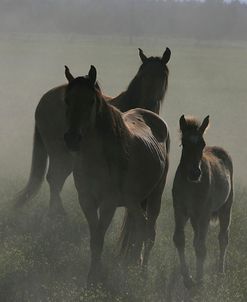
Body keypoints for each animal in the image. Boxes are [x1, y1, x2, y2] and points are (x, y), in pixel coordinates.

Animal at [14, 48, 171, 212]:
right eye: (143, 74)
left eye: (163, 75)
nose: (151, 100)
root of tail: (43, 100)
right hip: (62, 155)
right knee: (54, 178)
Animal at [62, 66, 169, 286]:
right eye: (67, 99)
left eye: (91, 101)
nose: (72, 138)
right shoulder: (86, 201)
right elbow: (95, 238)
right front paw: (91, 277)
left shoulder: (108, 203)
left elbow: (99, 238)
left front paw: (94, 278)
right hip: (134, 202)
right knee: (140, 226)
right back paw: (133, 267)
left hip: (155, 195)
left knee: (149, 232)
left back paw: (143, 274)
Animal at [173, 115, 233, 288]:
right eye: (184, 143)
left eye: (202, 144)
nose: (195, 173)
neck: (191, 186)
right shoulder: (180, 210)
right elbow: (179, 239)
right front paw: (187, 278)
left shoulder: (204, 214)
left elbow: (201, 247)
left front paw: (199, 280)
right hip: (194, 218)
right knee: (196, 239)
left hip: (225, 208)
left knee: (223, 238)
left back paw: (220, 272)